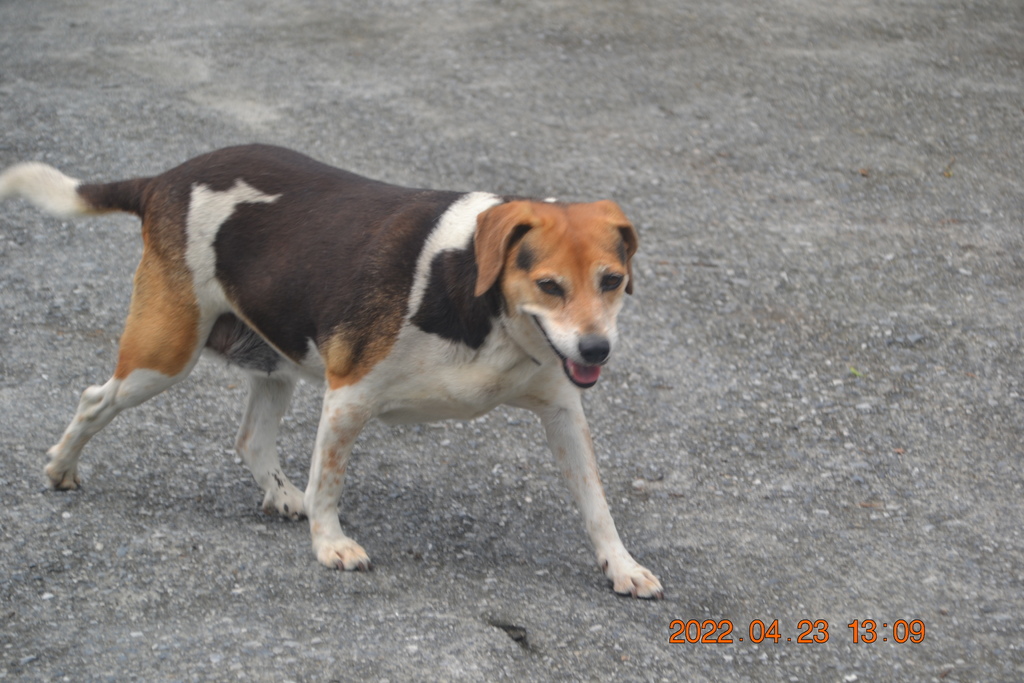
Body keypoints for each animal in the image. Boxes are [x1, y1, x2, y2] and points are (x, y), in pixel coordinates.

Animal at [0, 144, 663, 598]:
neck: (478, 298)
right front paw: (331, 545)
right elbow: (330, 481)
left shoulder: (563, 410)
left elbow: (596, 504)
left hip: (272, 360)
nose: (597, 350)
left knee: (250, 438)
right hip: (164, 356)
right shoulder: (349, 398)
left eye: (612, 280)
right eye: (549, 286)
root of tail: (165, 179)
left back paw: (279, 493)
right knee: (95, 398)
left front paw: (622, 566)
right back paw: (60, 468)